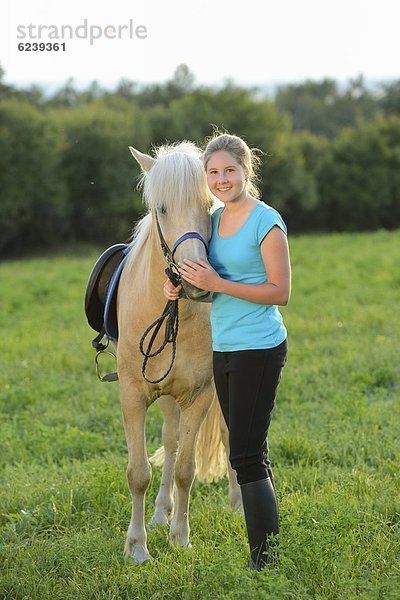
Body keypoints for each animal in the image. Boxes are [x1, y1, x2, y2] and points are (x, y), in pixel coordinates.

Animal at [115, 143, 241, 564]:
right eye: (162, 208)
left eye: (209, 204)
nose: (195, 279)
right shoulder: (133, 395)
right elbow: (139, 472)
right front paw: (138, 546)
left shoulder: (200, 395)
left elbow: (187, 469)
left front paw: (180, 537)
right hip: (167, 396)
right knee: (169, 442)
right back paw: (159, 512)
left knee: (227, 436)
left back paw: (238, 503)